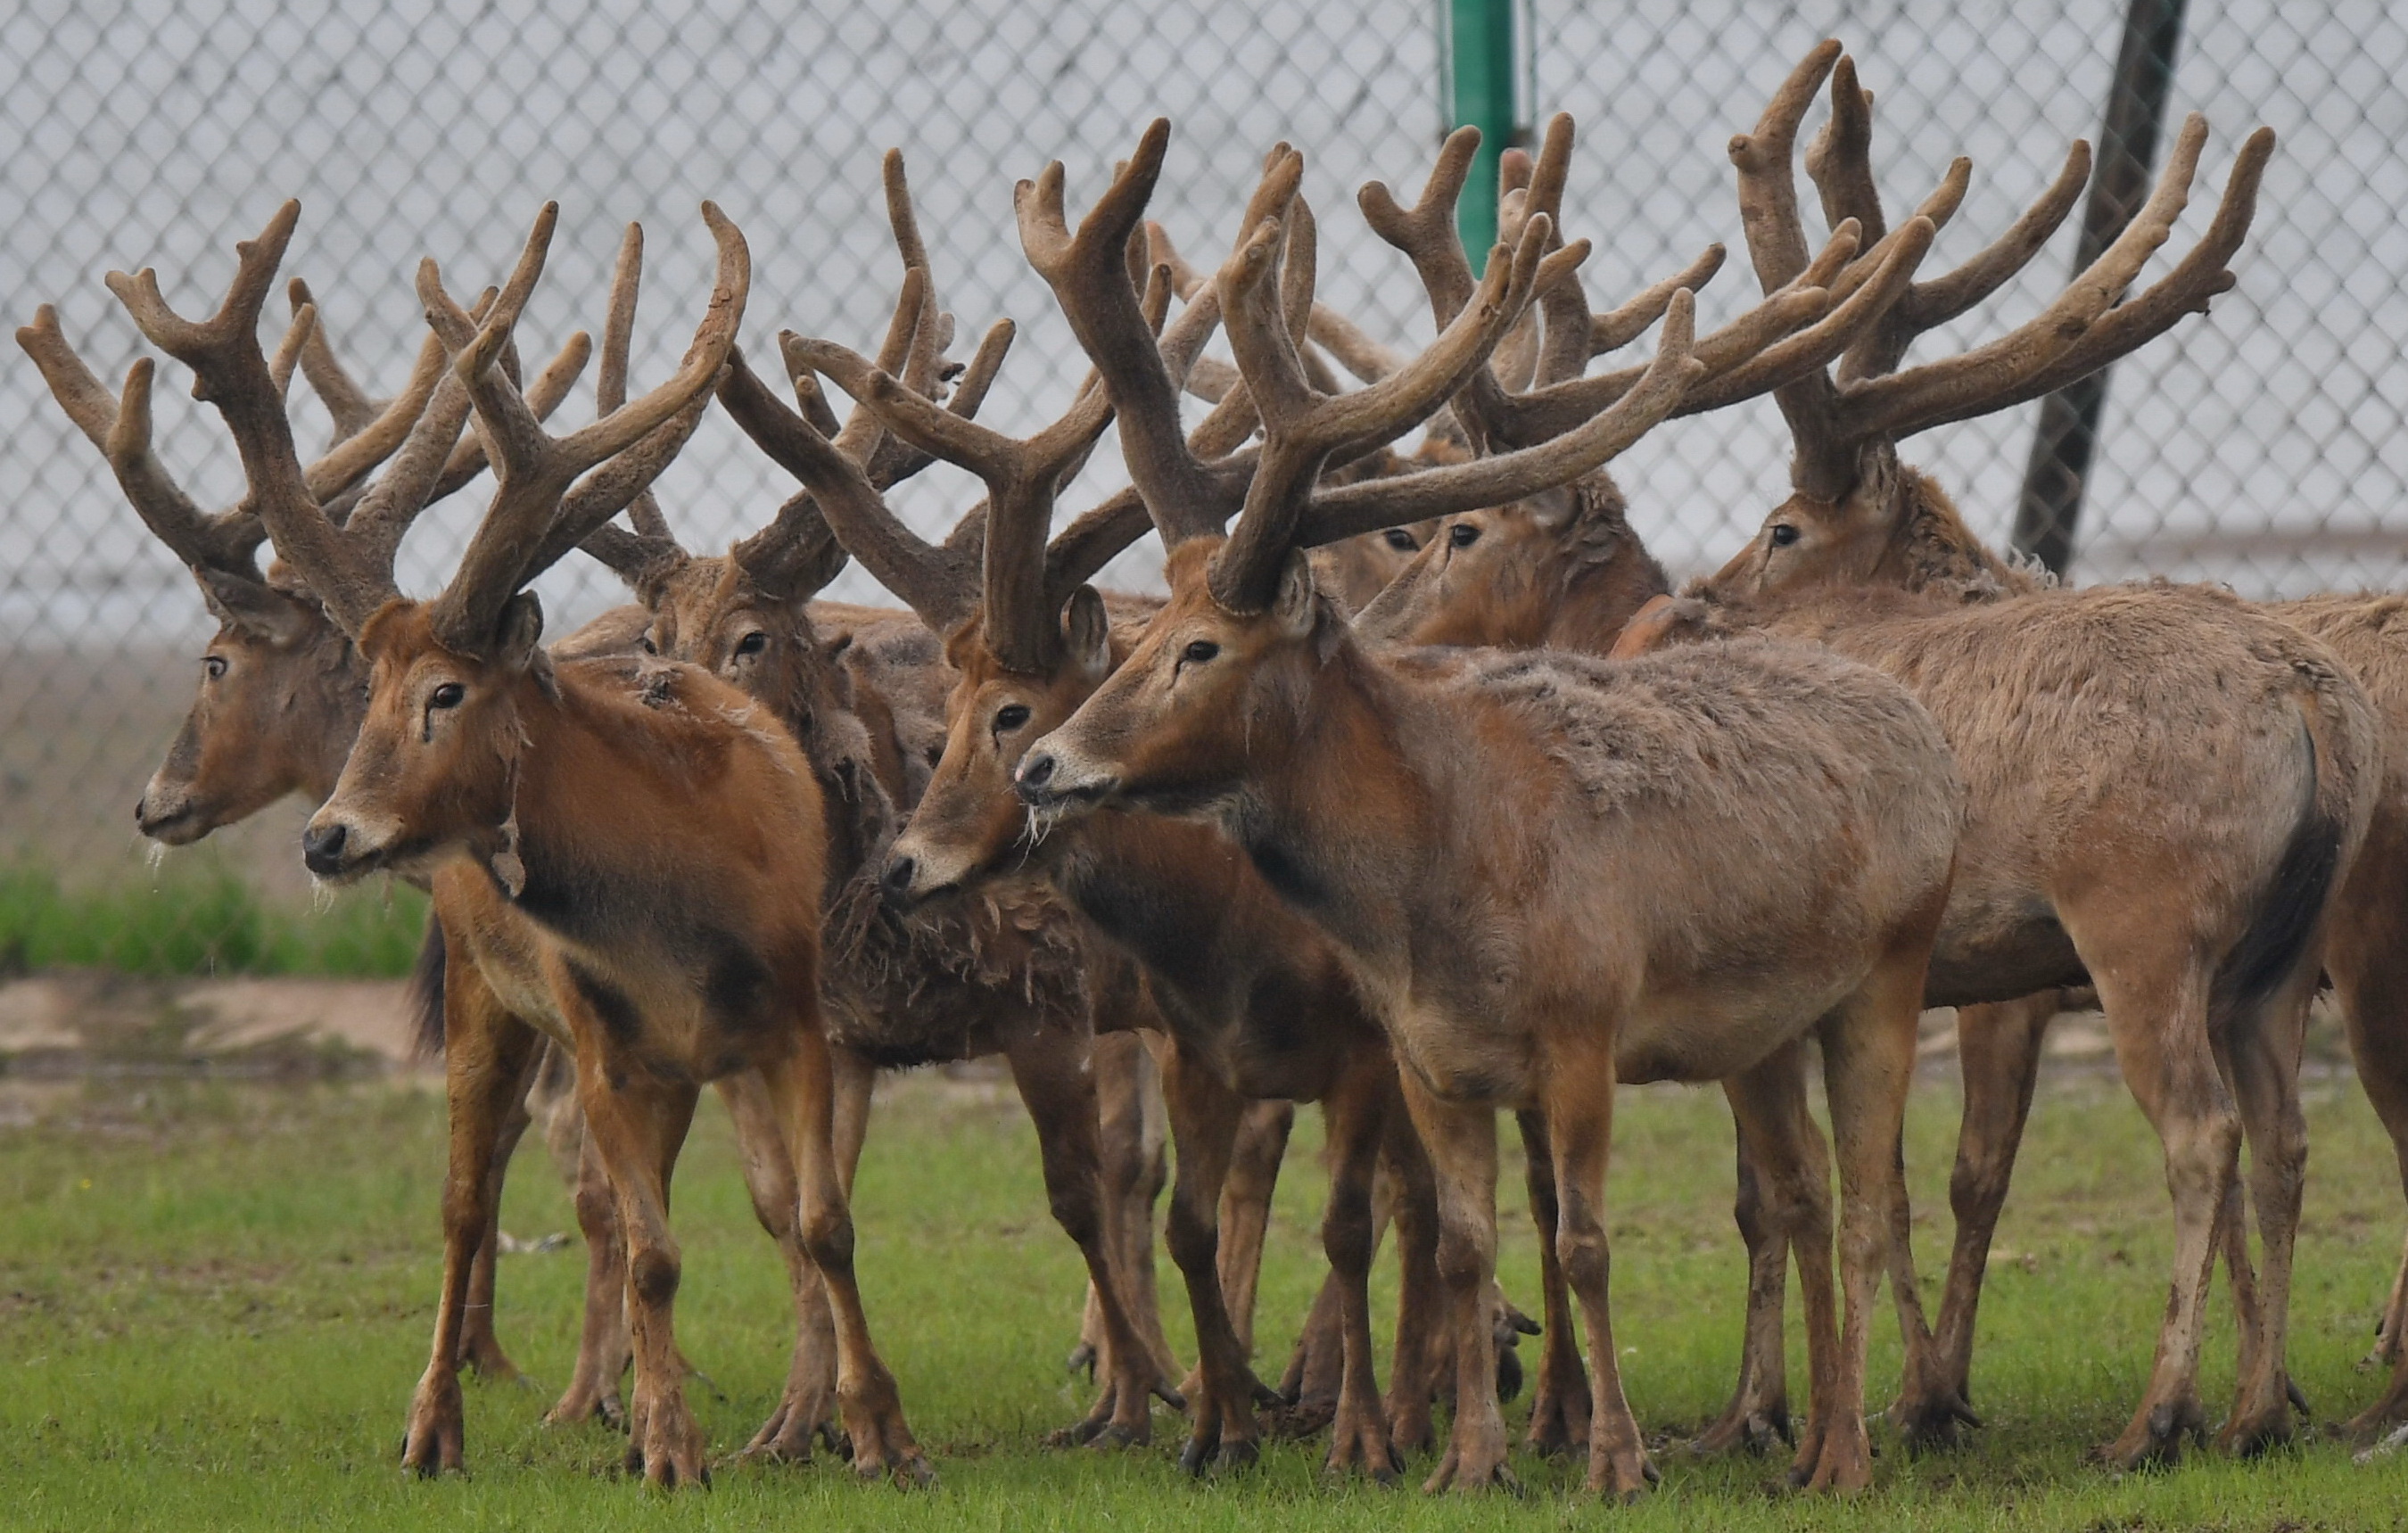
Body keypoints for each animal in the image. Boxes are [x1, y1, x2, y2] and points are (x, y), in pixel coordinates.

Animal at [1002, 120, 1975, 1492]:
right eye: (1141, 639)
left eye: (1200, 648)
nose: (1042, 766)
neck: (1428, 899)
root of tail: (1923, 731)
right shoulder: (1425, 1058)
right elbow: (1462, 1243)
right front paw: (1468, 1457)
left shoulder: (1584, 1027)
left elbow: (1583, 1241)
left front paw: (1613, 1457)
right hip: (1765, 1028)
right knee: (1806, 1196)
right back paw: (1801, 1440)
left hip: (1891, 969)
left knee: (1874, 1202)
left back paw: (1846, 1451)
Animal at [1608, 41, 2379, 1463]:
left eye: (1782, 528)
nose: (1695, 600)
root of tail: (2311, 701)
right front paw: (1913, 1396)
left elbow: (1882, 1183)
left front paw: (1886, 1402)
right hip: (2282, 951)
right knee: (2289, 1139)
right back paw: (2254, 1408)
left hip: (2146, 918)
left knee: (2202, 1132)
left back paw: (2158, 1415)